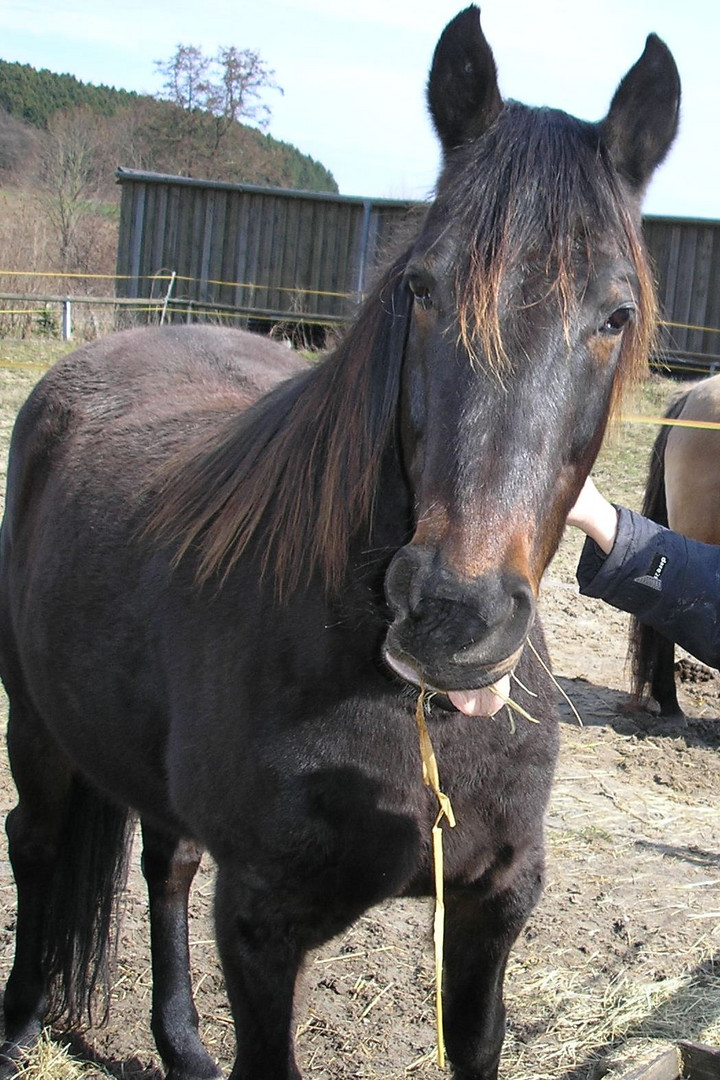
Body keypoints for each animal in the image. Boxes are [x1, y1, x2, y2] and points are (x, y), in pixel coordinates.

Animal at [0, 8, 677, 1080]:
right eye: (423, 289)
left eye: (615, 315)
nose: (455, 618)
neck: (413, 714)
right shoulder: (262, 927)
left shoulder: (493, 909)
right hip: (36, 720)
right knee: (35, 840)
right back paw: (22, 1019)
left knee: (164, 860)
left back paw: (180, 1044)